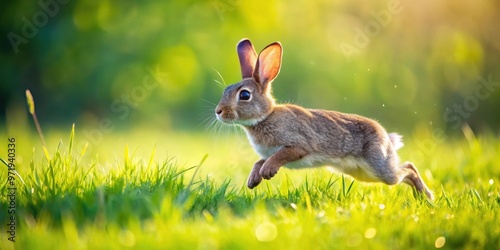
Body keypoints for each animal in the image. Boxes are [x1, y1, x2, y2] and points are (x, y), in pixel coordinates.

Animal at [215, 38, 434, 199]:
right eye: (225, 91)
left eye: (244, 95)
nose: (218, 111)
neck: (265, 117)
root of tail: (388, 139)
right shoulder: (267, 152)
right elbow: (258, 162)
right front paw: (253, 180)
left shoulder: (298, 144)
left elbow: (280, 156)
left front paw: (267, 171)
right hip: (364, 174)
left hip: (378, 166)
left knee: (407, 169)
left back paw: (427, 196)